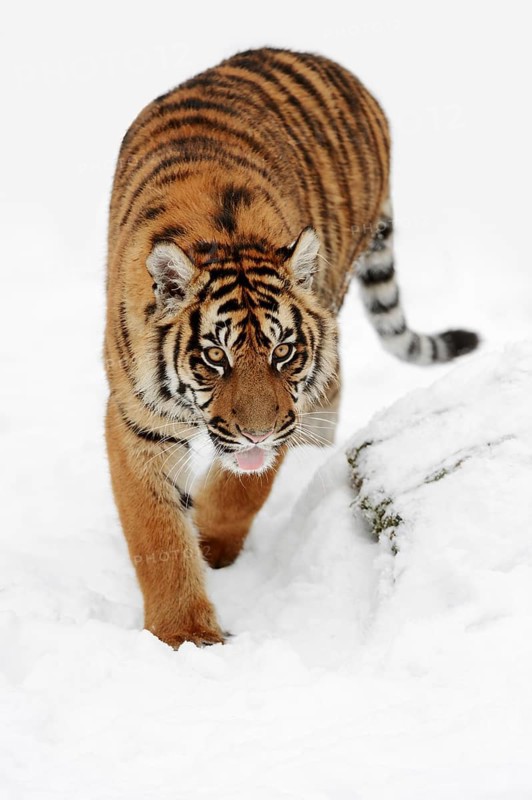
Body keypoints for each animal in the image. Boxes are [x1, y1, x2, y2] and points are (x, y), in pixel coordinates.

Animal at [105, 47, 478, 648]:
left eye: (283, 352)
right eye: (215, 357)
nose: (256, 433)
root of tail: (321, 59)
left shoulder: (290, 406)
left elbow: (245, 490)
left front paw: (213, 544)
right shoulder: (137, 422)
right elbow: (157, 535)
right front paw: (186, 635)